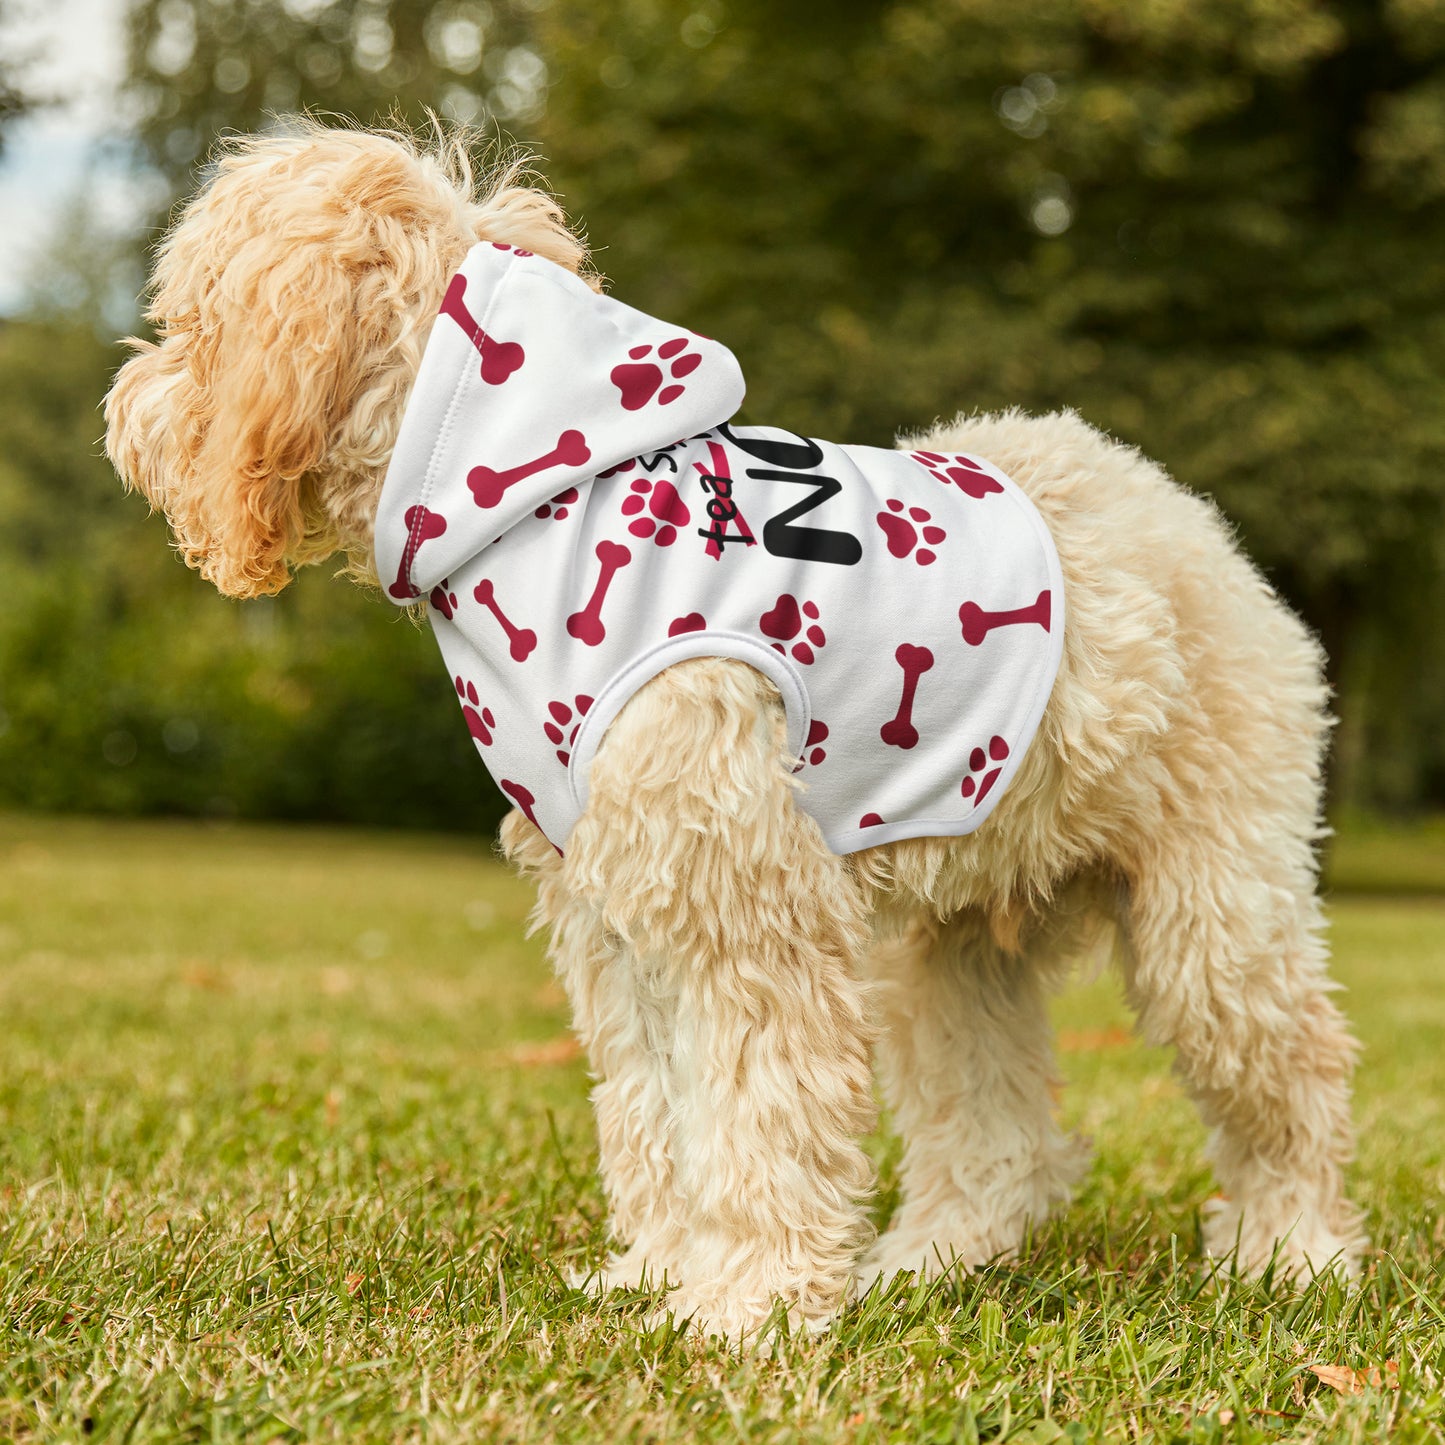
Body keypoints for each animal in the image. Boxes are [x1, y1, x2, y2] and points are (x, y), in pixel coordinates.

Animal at [104, 124, 1364, 1340]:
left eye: (191, 320)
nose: (124, 407)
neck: (535, 506)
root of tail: (1187, 519)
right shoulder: (616, 914)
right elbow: (655, 1110)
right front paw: (661, 1273)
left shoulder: (744, 906)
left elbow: (759, 1110)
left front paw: (747, 1305)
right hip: (949, 948)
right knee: (994, 1130)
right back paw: (929, 1260)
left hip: (1211, 912)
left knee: (1292, 1072)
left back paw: (1290, 1252)